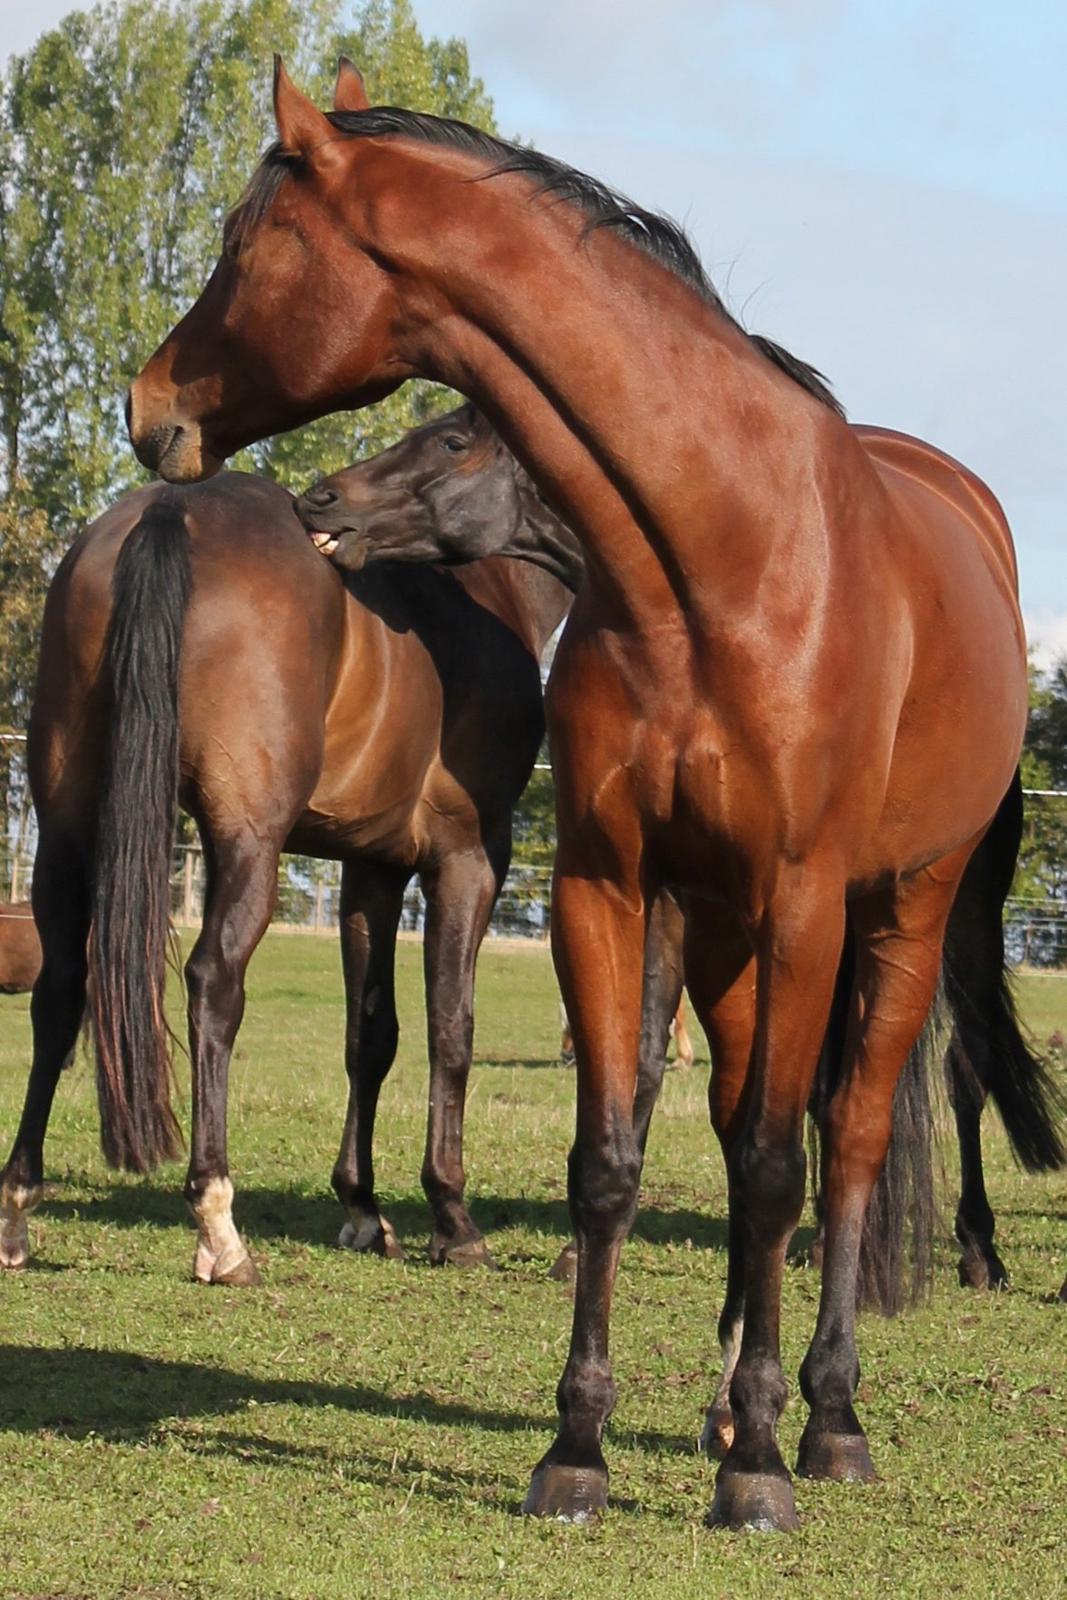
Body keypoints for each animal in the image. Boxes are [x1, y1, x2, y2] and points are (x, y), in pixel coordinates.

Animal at [127, 65, 1036, 1536]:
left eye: (242, 242)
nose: (148, 409)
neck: (713, 556)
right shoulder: (610, 886)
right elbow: (613, 1158)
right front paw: (578, 1445)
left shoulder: (798, 901)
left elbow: (779, 1165)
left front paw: (756, 1469)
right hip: (720, 932)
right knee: (737, 1119)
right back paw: (727, 1392)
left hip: (900, 912)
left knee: (839, 1139)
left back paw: (823, 1414)